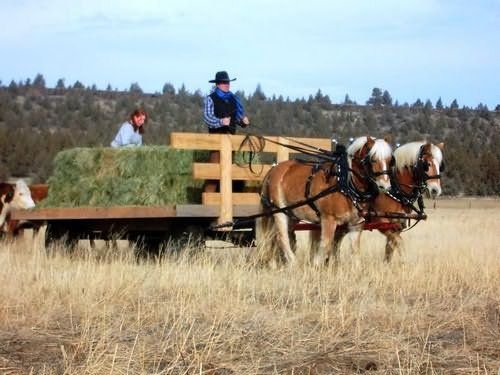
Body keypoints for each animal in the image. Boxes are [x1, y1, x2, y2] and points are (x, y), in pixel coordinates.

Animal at [258, 136, 394, 268]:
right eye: (372, 159)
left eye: (390, 160)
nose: (385, 186)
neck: (345, 184)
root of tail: (273, 170)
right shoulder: (328, 219)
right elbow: (325, 246)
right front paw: (316, 266)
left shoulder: (356, 224)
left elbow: (355, 250)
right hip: (279, 211)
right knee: (282, 237)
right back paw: (293, 263)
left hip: (292, 215)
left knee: (274, 237)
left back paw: (273, 264)